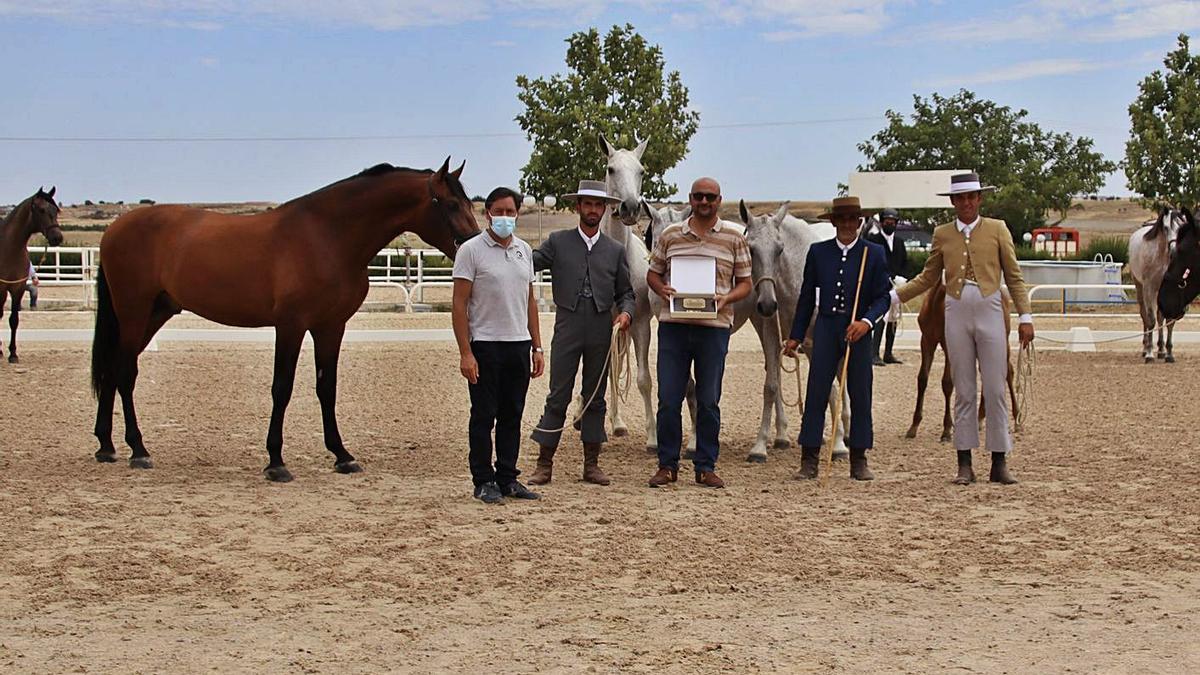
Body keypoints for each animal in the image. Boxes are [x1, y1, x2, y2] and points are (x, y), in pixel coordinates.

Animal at [0, 186, 63, 360]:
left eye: (56, 210)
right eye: (41, 210)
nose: (57, 238)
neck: (9, 249)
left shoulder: (18, 288)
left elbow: (14, 319)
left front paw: (13, 353)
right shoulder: (1, 288)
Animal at [92, 159, 477, 480]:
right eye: (451, 204)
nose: (473, 243)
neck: (328, 237)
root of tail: (114, 229)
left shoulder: (330, 327)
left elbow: (326, 388)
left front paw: (342, 456)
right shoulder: (291, 325)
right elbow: (282, 388)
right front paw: (276, 462)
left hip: (156, 313)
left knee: (112, 369)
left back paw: (106, 447)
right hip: (134, 312)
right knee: (125, 373)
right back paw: (138, 450)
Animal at [734, 199, 849, 456]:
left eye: (780, 249)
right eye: (751, 249)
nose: (767, 304)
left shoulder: (818, 341)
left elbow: (829, 387)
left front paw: (838, 444)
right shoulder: (771, 335)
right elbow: (771, 386)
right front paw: (760, 446)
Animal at [902, 278, 1017, 441]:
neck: (937, 303)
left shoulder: (949, 345)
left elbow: (947, 383)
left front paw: (947, 429)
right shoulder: (927, 342)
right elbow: (922, 379)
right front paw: (914, 426)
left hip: (1002, 342)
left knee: (1008, 372)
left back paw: (1017, 419)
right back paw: (980, 418)